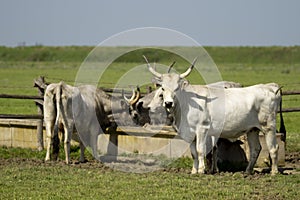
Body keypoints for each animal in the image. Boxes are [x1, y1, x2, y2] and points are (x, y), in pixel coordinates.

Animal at [145, 56, 284, 175]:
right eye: (163, 89)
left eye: (177, 88)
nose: (168, 103)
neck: (186, 104)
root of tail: (270, 87)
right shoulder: (191, 133)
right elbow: (194, 153)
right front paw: (194, 171)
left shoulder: (202, 129)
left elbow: (200, 150)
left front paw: (201, 170)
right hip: (252, 129)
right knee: (255, 149)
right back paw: (247, 171)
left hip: (268, 126)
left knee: (274, 148)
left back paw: (274, 171)